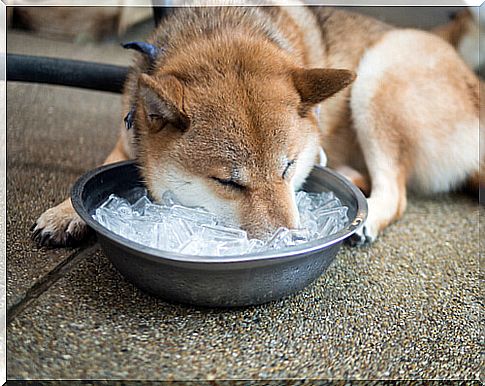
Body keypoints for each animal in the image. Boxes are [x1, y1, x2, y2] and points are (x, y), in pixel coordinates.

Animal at [32, 5, 482, 247]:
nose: (291, 242)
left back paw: (367, 218)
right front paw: (65, 212)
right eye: (228, 182)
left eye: (288, 168)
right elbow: (98, 168)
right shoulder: (128, 133)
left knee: (395, 191)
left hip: (379, 73)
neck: (221, 26)